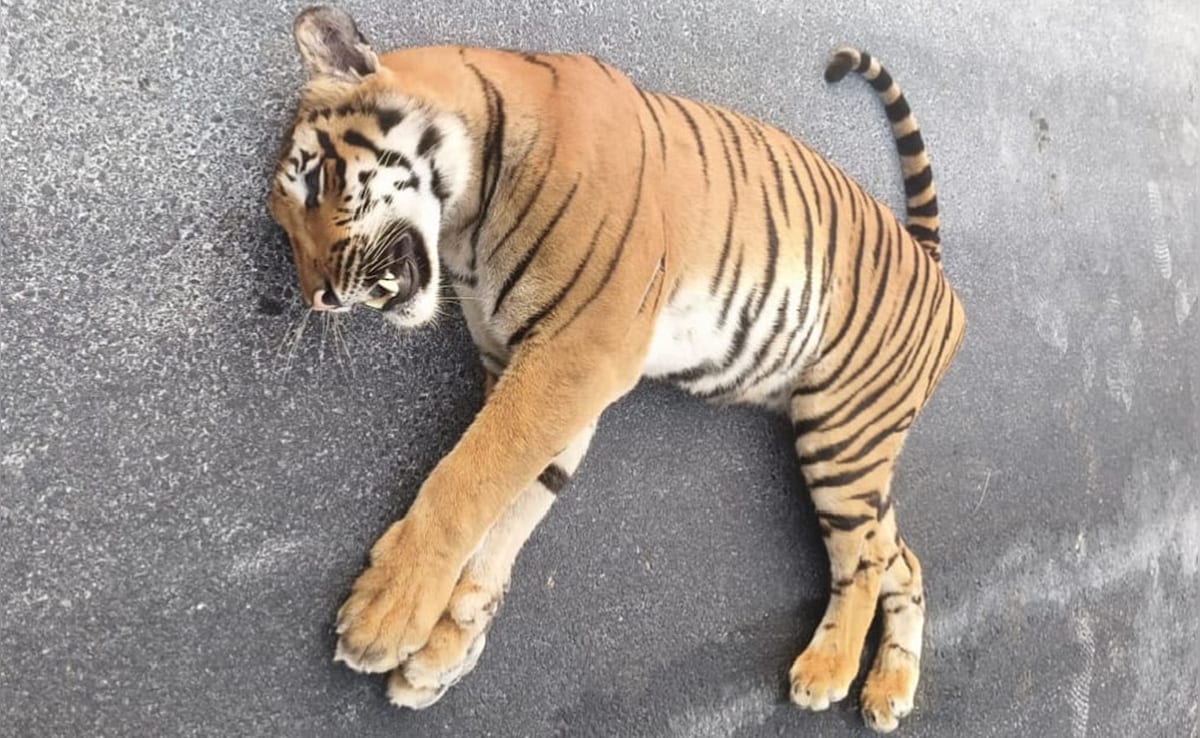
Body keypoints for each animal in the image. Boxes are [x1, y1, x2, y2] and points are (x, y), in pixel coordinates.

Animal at [267, 6, 966, 733]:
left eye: (314, 181)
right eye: (282, 223)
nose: (319, 297)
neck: (463, 228)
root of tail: (928, 258)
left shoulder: (575, 356)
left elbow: (469, 480)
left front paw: (386, 614)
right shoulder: (532, 372)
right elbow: (508, 513)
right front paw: (441, 653)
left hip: (841, 430)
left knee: (867, 557)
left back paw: (825, 671)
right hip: (854, 449)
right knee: (902, 558)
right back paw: (888, 690)